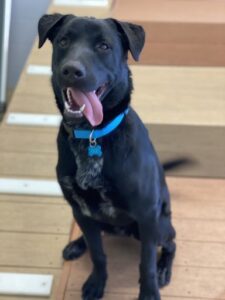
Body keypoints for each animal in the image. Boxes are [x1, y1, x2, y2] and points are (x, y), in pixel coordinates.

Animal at [38, 14, 176, 300]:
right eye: (63, 41)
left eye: (103, 46)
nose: (72, 70)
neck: (92, 135)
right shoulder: (80, 208)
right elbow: (98, 254)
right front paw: (97, 282)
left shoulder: (147, 216)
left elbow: (145, 262)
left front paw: (149, 291)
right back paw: (77, 244)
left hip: (161, 225)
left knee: (172, 244)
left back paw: (164, 268)